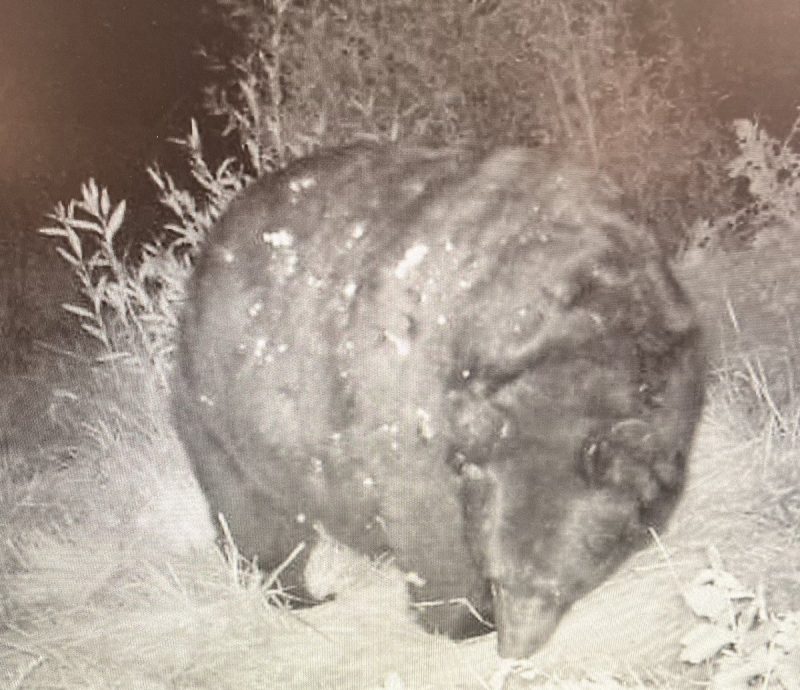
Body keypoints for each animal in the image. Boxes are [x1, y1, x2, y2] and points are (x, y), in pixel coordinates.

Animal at [172, 142, 704, 660]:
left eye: (552, 587)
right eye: (498, 576)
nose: (513, 649)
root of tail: (211, 247)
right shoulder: (416, 404)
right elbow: (431, 524)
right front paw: (464, 620)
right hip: (225, 409)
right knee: (255, 514)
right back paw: (296, 592)